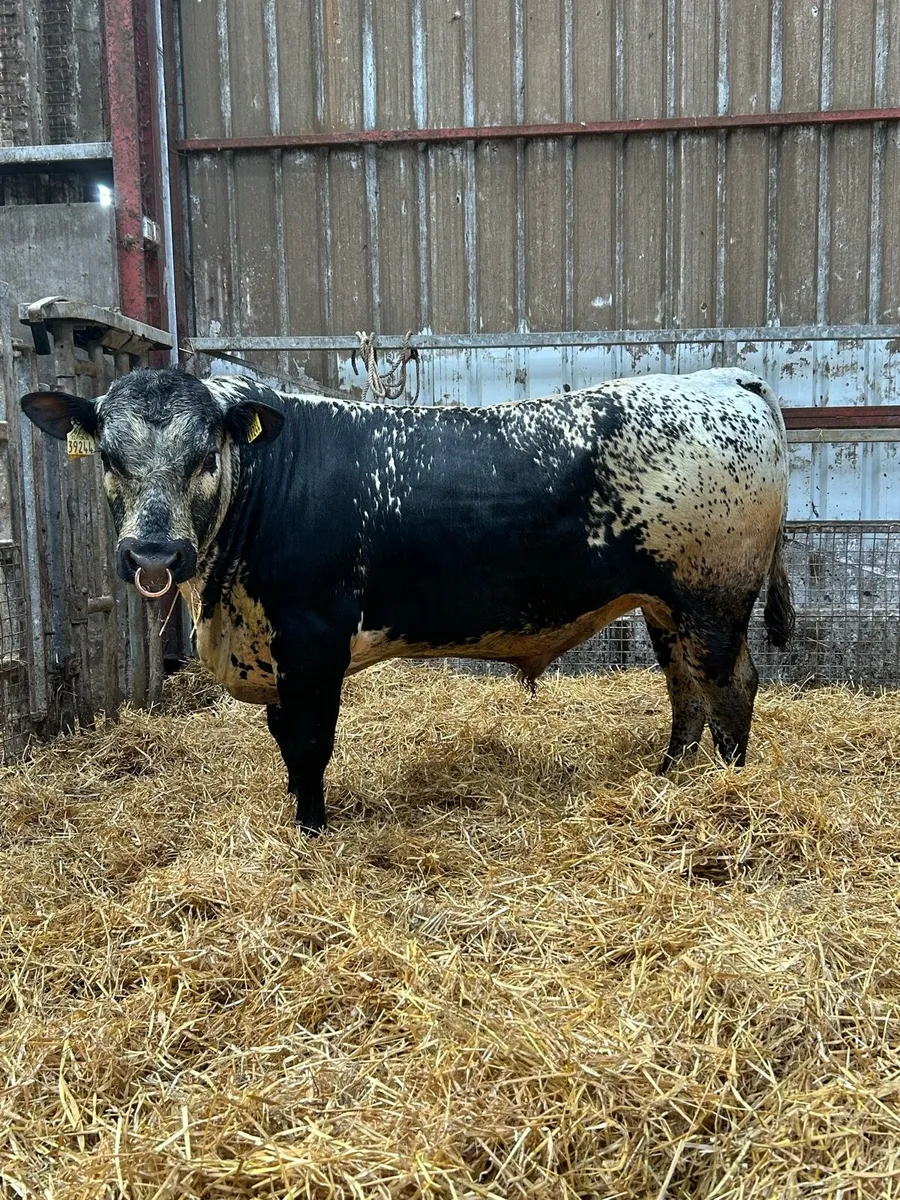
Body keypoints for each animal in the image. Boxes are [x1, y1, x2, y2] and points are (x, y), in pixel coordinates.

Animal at [21, 366, 794, 833]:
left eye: (205, 457)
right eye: (109, 458)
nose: (153, 555)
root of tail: (727, 377)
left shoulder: (311, 639)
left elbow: (308, 742)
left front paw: (311, 829)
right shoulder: (273, 648)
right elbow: (283, 739)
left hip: (713, 597)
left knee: (730, 686)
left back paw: (726, 788)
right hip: (665, 606)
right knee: (684, 689)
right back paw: (668, 779)